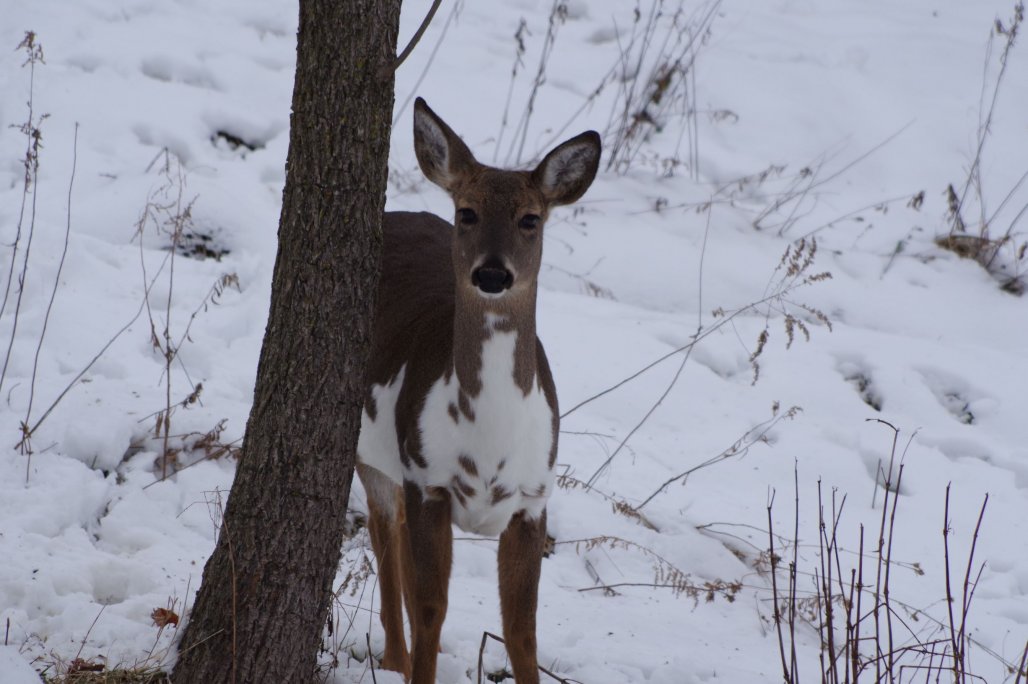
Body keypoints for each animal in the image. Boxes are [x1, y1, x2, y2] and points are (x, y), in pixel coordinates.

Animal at [357, 97, 600, 682]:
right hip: (373, 452)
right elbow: (430, 608)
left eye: (531, 218)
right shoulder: (428, 479)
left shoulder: (533, 501)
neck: (489, 444)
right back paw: (394, 660)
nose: (492, 274)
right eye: (466, 212)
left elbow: (522, 631)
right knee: (385, 534)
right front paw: (417, 667)